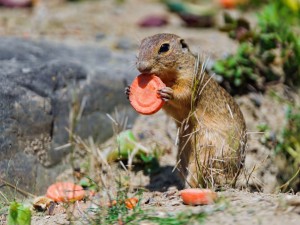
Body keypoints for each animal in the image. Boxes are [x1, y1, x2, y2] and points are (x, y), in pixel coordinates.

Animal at [126, 33, 246, 188]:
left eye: (164, 47)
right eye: (141, 45)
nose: (141, 66)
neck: (167, 77)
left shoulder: (189, 78)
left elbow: (184, 93)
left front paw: (168, 92)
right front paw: (128, 90)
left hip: (205, 155)